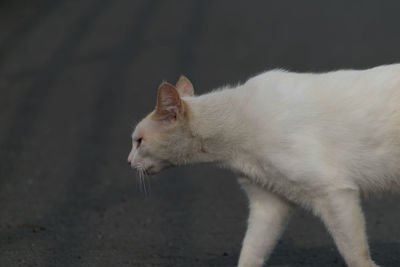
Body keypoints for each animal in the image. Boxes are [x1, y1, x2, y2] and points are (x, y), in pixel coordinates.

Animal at [128, 65, 400, 267]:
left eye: (139, 141)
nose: (128, 161)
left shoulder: (334, 192)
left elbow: (356, 254)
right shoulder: (269, 204)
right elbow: (251, 251)